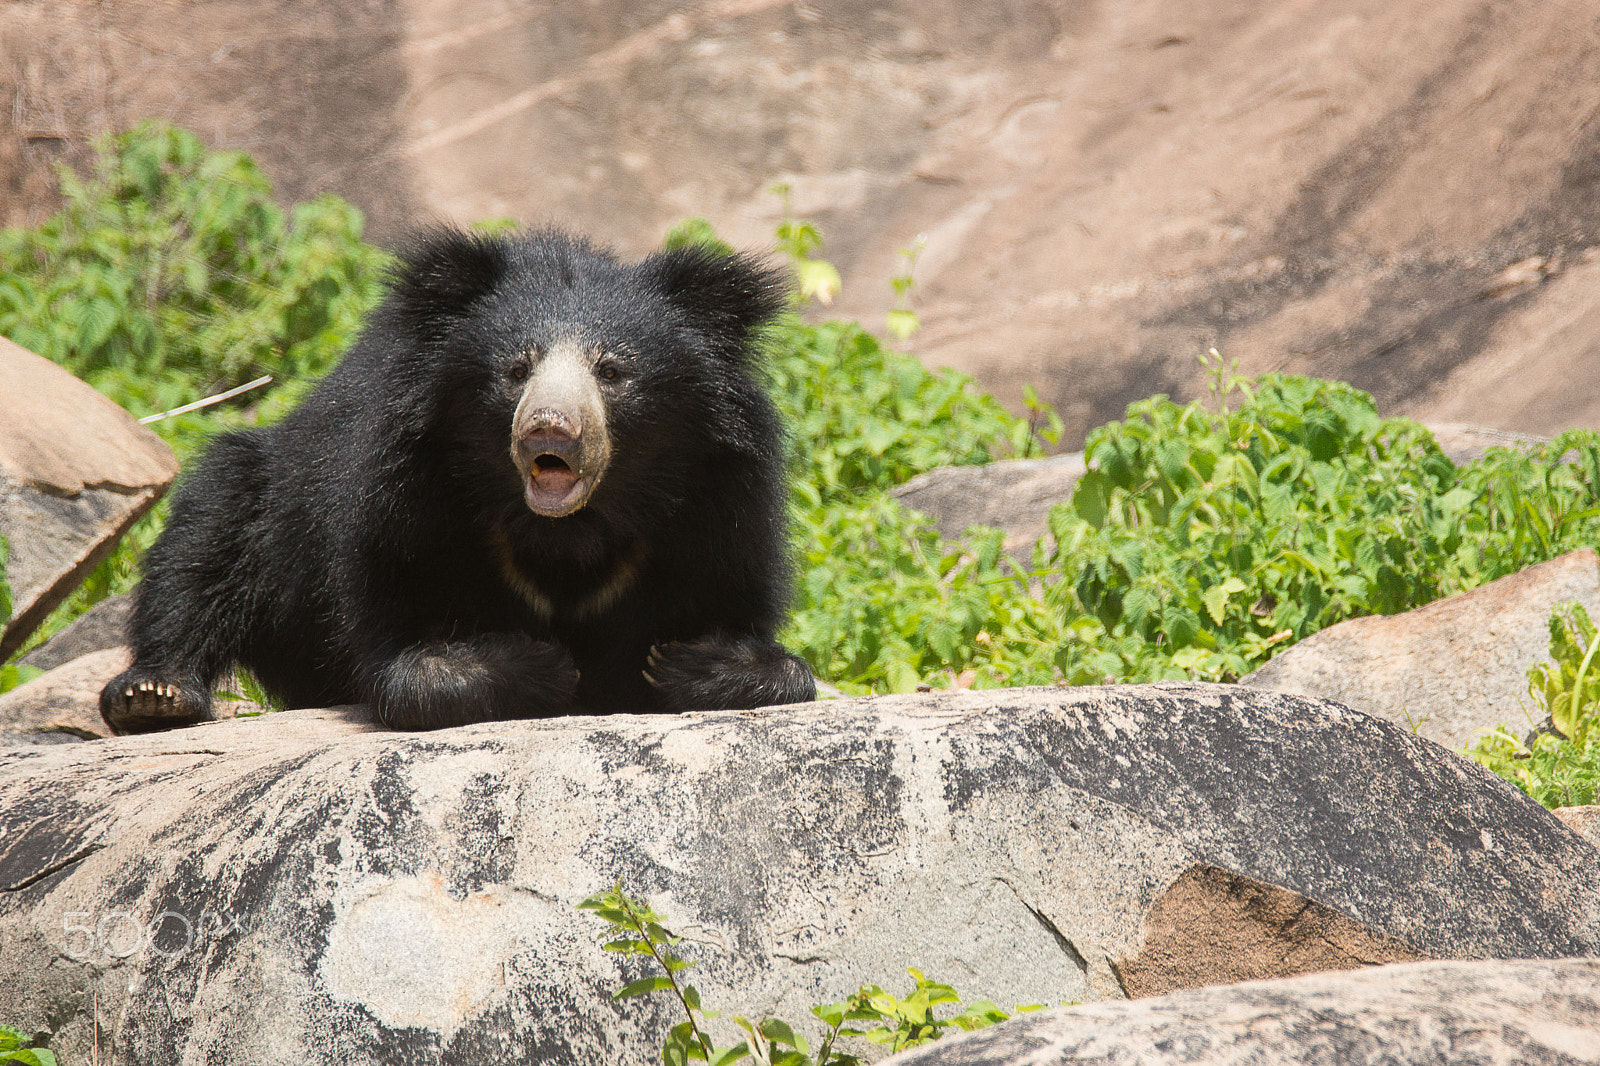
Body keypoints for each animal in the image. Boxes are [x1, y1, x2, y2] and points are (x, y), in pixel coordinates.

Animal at [103, 228, 812, 729]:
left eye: (612, 371)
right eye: (517, 370)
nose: (550, 428)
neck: (568, 528)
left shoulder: (720, 506)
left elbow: (767, 646)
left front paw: (689, 660)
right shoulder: (402, 501)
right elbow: (402, 663)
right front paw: (539, 663)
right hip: (271, 492)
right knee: (210, 533)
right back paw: (154, 692)